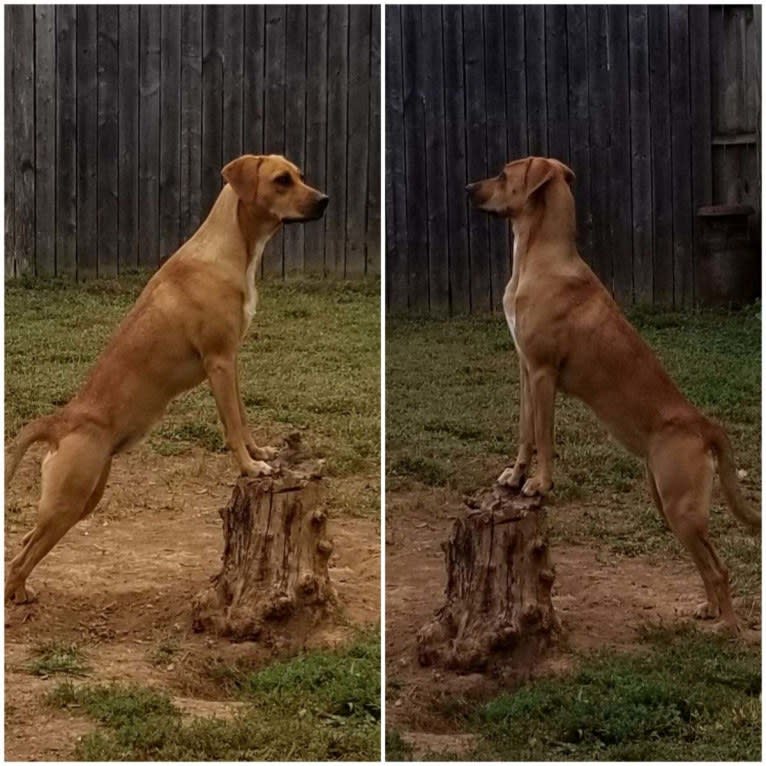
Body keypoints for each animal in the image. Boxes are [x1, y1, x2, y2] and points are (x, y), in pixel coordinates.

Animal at [6, 152, 330, 608]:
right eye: (281, 180)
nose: (324, 200)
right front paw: (250, 467)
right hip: (67, 502)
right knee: (21, 557)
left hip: (82, 499)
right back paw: (19, 593)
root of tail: (60, 422)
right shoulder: (218, 362)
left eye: (300, 175)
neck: (231, 248)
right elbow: (232, 425)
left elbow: (244, 419)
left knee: (23, 546)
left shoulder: (232, 361)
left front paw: (261, 452)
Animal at [468, 158, 760, 636]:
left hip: (682, 508)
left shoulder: (543, 374)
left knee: (719, 568)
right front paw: (515, 475)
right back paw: (710, 610)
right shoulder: (525, 369)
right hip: (669, 503)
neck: (535, 255)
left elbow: (545, 436)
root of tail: (704, 425)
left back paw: (729, 628)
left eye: (505, 173)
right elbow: (525, 432)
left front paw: (540, 484)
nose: (469, 187)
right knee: (708, 565)